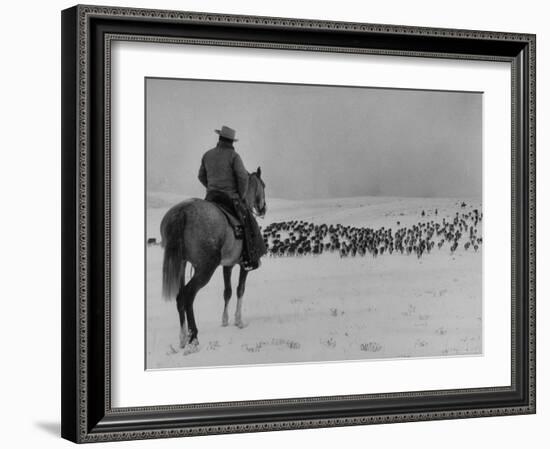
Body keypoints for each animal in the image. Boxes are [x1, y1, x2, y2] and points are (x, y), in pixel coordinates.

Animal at [160, 166, 268, 352]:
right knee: (188, 295)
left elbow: (227, 291)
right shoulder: (243, 265)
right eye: (264, 185)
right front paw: (238, 321)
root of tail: (182, 212)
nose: (263, 208)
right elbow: (240, 289)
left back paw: (183, 338)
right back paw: (193, 337)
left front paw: (224, 321)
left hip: (181, 264)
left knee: (180, 297)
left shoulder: (227, 265)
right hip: (205, 268)